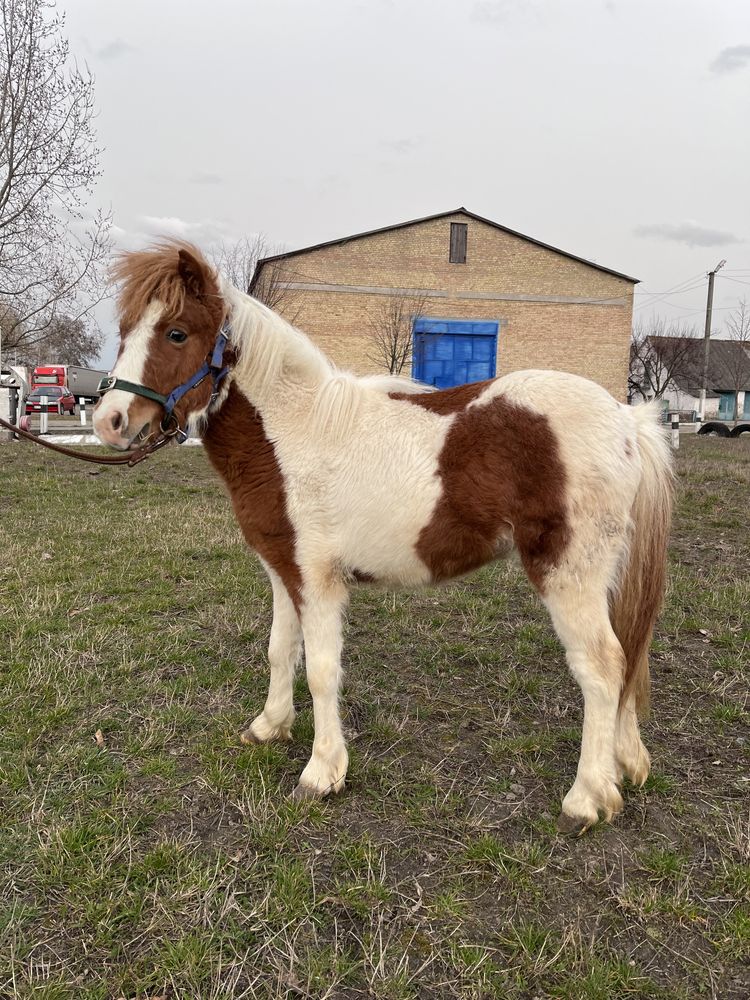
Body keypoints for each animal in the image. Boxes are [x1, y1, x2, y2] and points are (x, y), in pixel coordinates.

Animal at [94, 242, 676, 836]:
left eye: (177, 333)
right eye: (124, 329)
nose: (109, 420)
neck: (294, 431)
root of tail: (627, 421)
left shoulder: (318, 580)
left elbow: (322, 670)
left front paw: (322, 773)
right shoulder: (283, 571)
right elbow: (281, 651)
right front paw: (269, 726)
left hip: (568, 577)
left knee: (603, 667)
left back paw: (587, 798)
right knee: (629, 655)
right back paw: (627, 764)